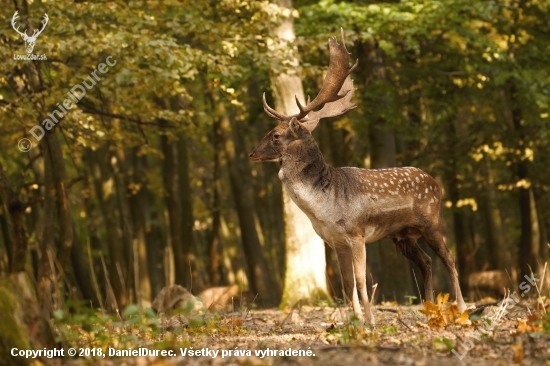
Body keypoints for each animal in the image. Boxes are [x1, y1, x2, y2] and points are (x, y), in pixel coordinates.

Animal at [252, 30, 468, 324]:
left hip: (432, 222)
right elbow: (346, 283)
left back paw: (462, 309)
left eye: (275, 135)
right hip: (402, 235)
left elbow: (361, 279)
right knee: (426, 261)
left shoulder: (356, 233)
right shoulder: (335, 241)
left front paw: (371, 321)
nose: (252, 153)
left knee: (450, 258)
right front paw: (355, 322)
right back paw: (428, 309)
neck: (323, 207)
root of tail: (435, 182)